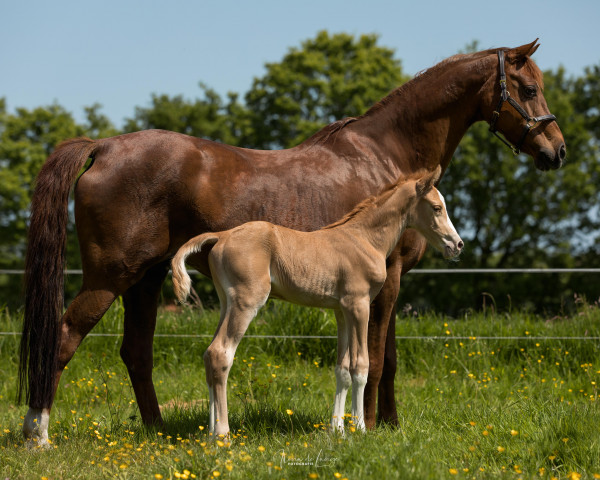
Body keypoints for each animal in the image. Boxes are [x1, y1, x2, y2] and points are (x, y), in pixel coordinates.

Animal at [171, 170, 462, 438]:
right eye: (437, 207)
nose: (457, 245)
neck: (365, 240)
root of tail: (221, 236)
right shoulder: (360, 305)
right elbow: (361, 366)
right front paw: (360, 429)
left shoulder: (342, 311)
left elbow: (342, 369)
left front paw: (338, 429)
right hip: (246, 302)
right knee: (220, 354)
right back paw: (223, 433)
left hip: (226, 303)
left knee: (209, 355)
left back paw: (210, 431)